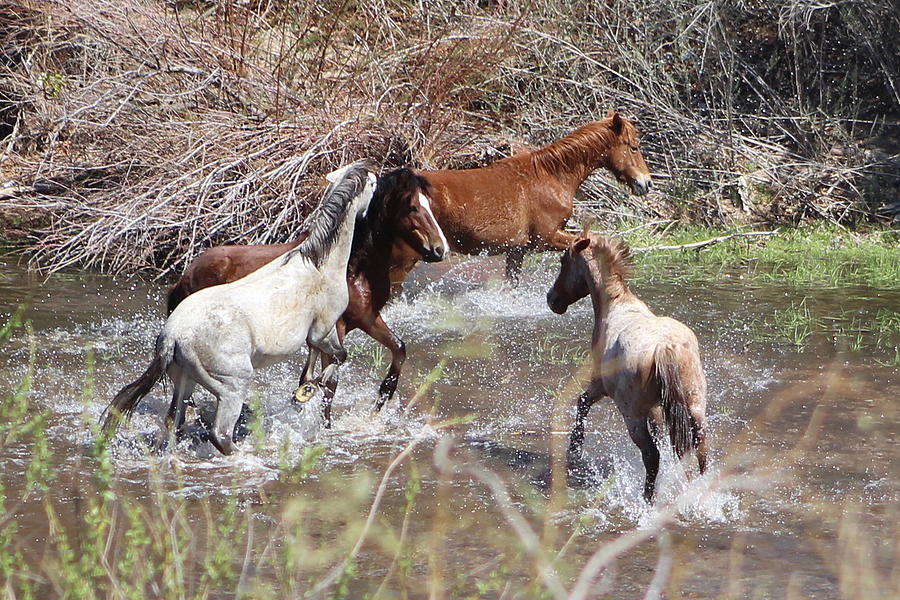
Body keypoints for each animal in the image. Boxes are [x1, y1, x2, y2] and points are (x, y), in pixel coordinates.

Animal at [103, 162, 376, 452]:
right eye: (373, 186)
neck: (319, 264)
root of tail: (173, 336)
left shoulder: (318, 334)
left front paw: (305, 388)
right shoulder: (323, 329)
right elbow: (339, 356)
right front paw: (312, 388)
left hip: (184, 380)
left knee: (172, 423)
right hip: (233, 386)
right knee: (220, 434)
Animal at [165, 166, 446, 426]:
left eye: (429, 206)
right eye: (412, 207)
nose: (439, 249)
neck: (352, 266)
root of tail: (185, 275)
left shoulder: (366, 318)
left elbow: (398, 347)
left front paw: (382, 398)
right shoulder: (334, 327)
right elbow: (331, 382)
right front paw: (324, 424)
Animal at [544, 233, 708, 502]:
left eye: (563, 261)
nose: (552, 300)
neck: (617, 305)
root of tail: (666, 347)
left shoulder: (600, 384)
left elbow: (582, 402)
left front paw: (575, 449)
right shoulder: (656, 408)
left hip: (632, 416)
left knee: (651, 456)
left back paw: (647, 500)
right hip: (695, 407)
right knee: (701, 449)